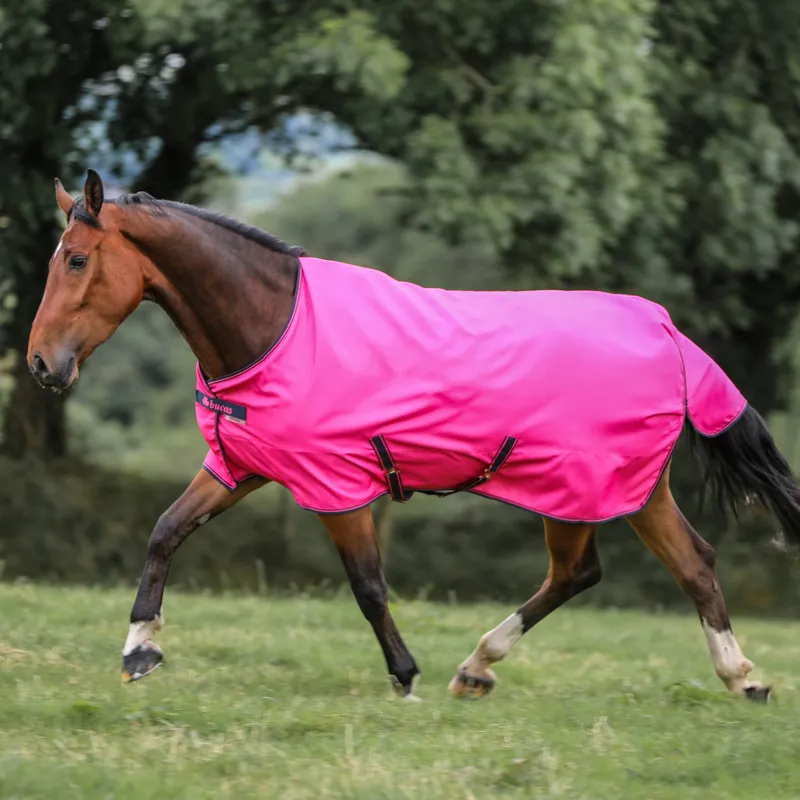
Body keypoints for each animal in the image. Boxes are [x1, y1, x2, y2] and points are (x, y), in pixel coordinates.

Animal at [27, 169, 800, 703]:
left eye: (76, 260)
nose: (39, 364)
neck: (274, 326)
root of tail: (664, 328)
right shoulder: (241, 465)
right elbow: (165, 531)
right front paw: (139, 650)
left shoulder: (337, 485)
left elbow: (368, 585)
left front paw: (405, 677)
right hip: (625, 490)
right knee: (672, 565)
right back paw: (734, 678)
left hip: (585, 488)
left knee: (598, 571)